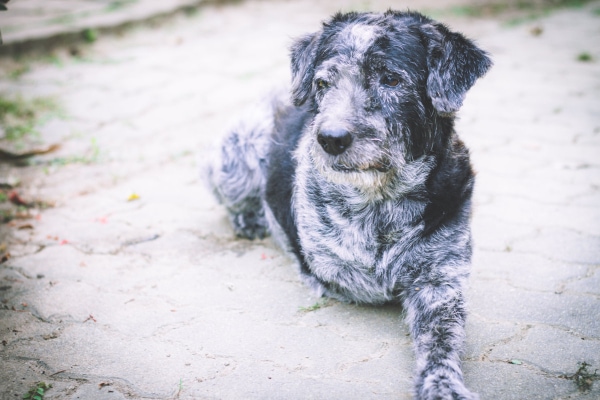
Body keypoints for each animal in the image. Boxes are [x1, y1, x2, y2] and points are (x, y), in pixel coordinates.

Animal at [209, 9, 490, 400]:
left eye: (391, 79)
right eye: (323, 83)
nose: (330, 138)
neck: (381, 204)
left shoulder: (440, 281)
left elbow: (441, 340)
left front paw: (443, 385)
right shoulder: (333, 268)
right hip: (237, 157)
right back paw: (249, 219)